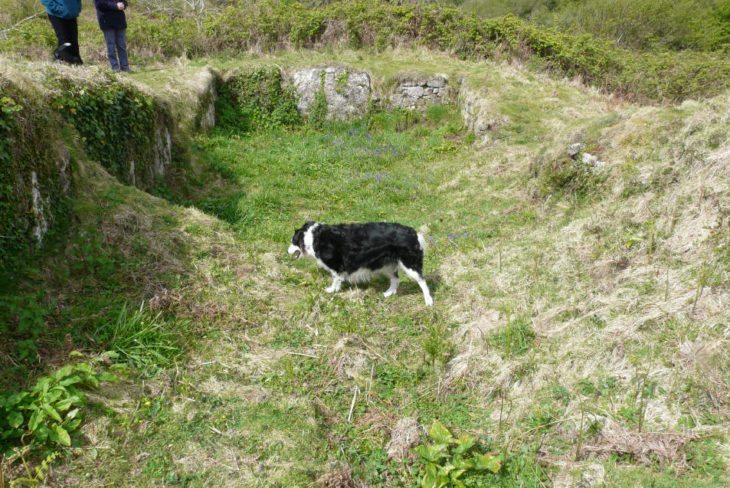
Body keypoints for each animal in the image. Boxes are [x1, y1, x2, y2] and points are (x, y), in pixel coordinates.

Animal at [286, 221, 432, 304]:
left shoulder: (337, 266)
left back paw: (428, 301)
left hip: (409, 264)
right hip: (388, 265)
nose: (287, 251)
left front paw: (332, 290)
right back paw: (388, 293)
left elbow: (335, 279)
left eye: (293, 241)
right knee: (396, 279)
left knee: (422, 281)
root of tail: (414, 233)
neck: (312, 237)